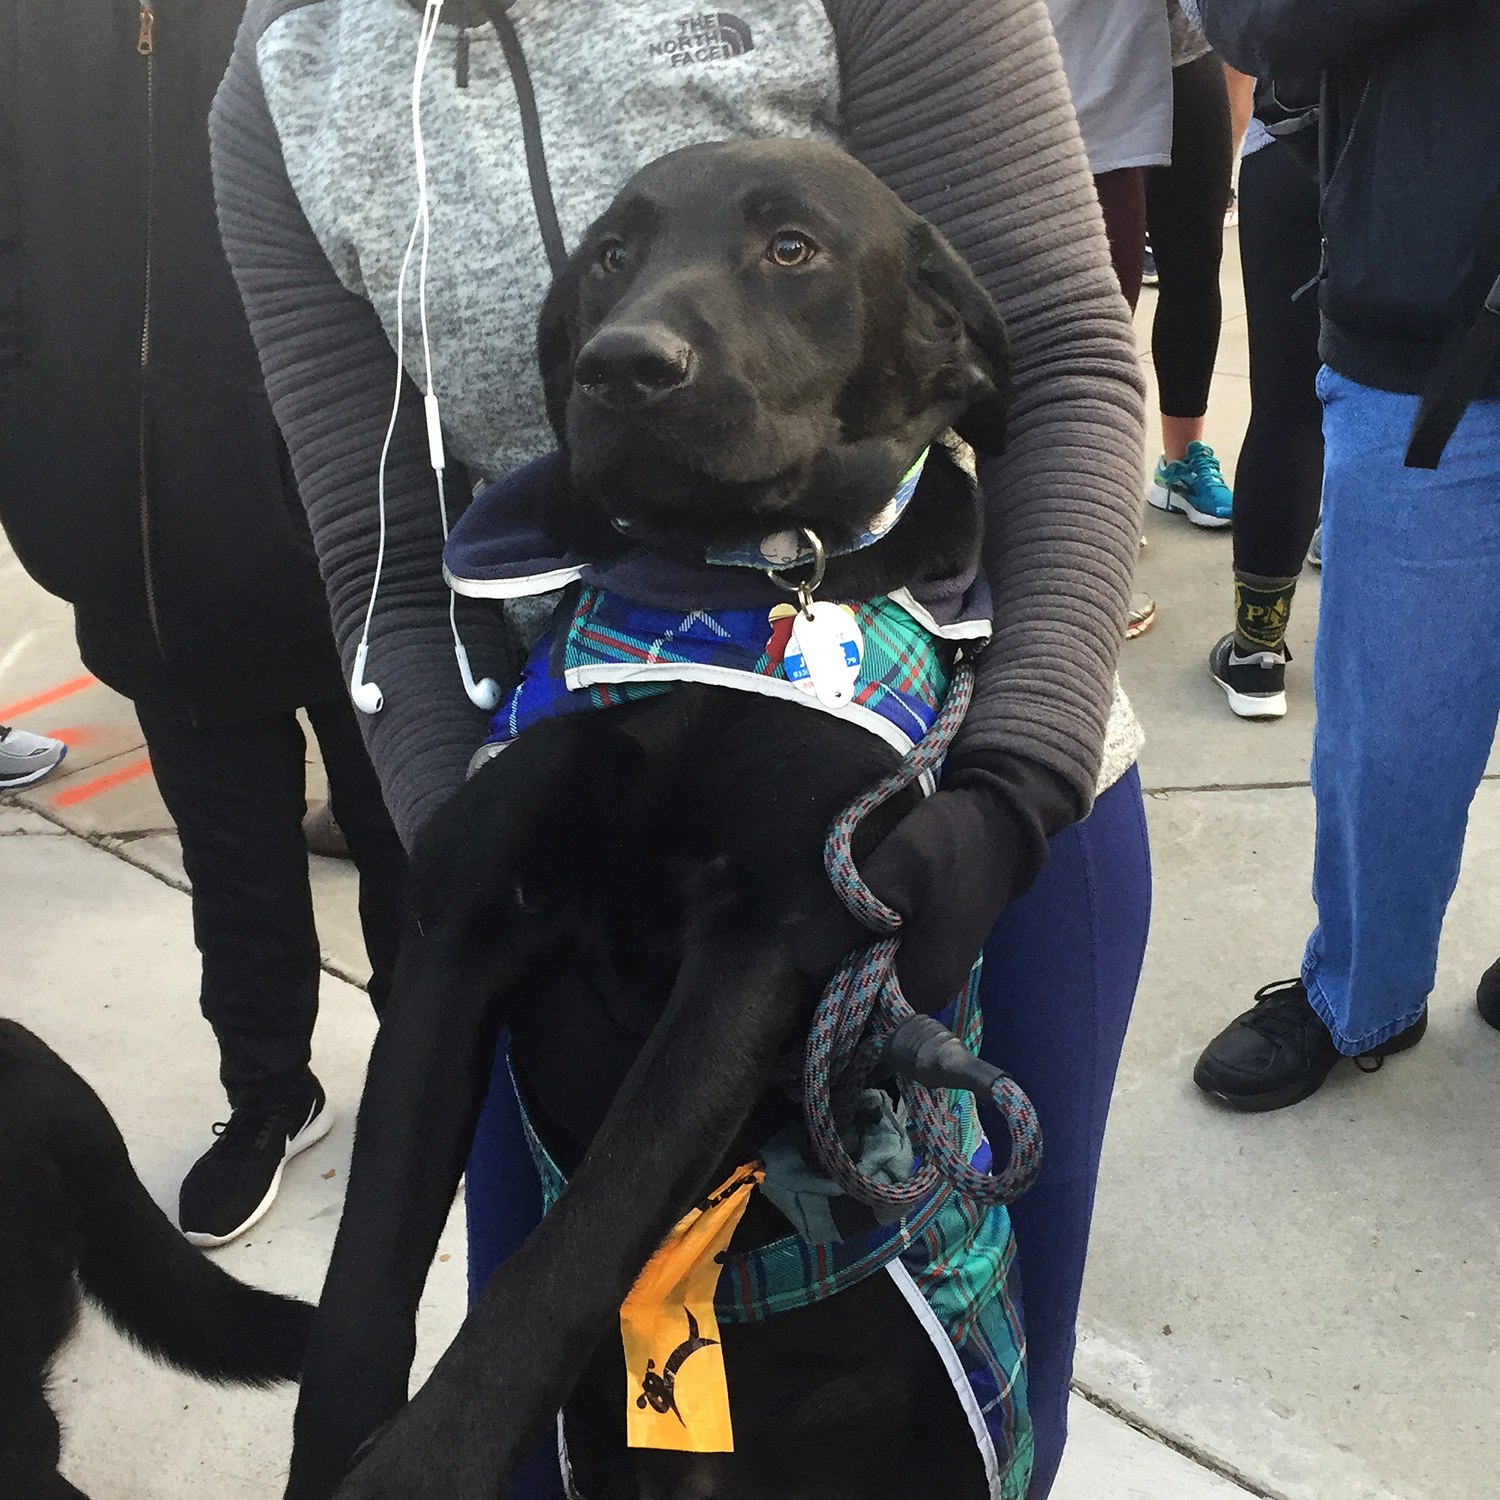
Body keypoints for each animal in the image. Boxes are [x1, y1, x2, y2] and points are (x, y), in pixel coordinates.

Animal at [289, 138, 1020, 1500]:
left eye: (792, 247)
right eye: (610, 256)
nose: (621, 366)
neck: (712, 593)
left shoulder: (757, 952)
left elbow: (568, 1252)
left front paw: (424, 1464)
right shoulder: (463, 928)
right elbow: (365, 1272)